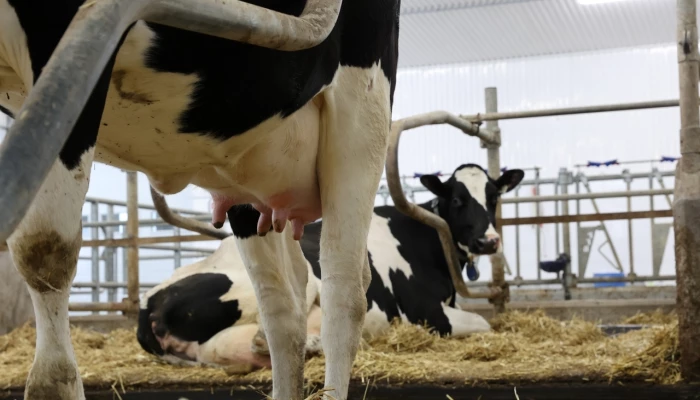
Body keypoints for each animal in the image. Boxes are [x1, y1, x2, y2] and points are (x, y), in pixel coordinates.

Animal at [136, 164, 525, 370]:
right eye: (457, 199)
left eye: (493, 196)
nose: (489, 241)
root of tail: (148, 303)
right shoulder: (426, 313)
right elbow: (484, 323)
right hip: (292, 282)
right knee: (270, 334)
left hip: (209, 348)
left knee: (235, 349)